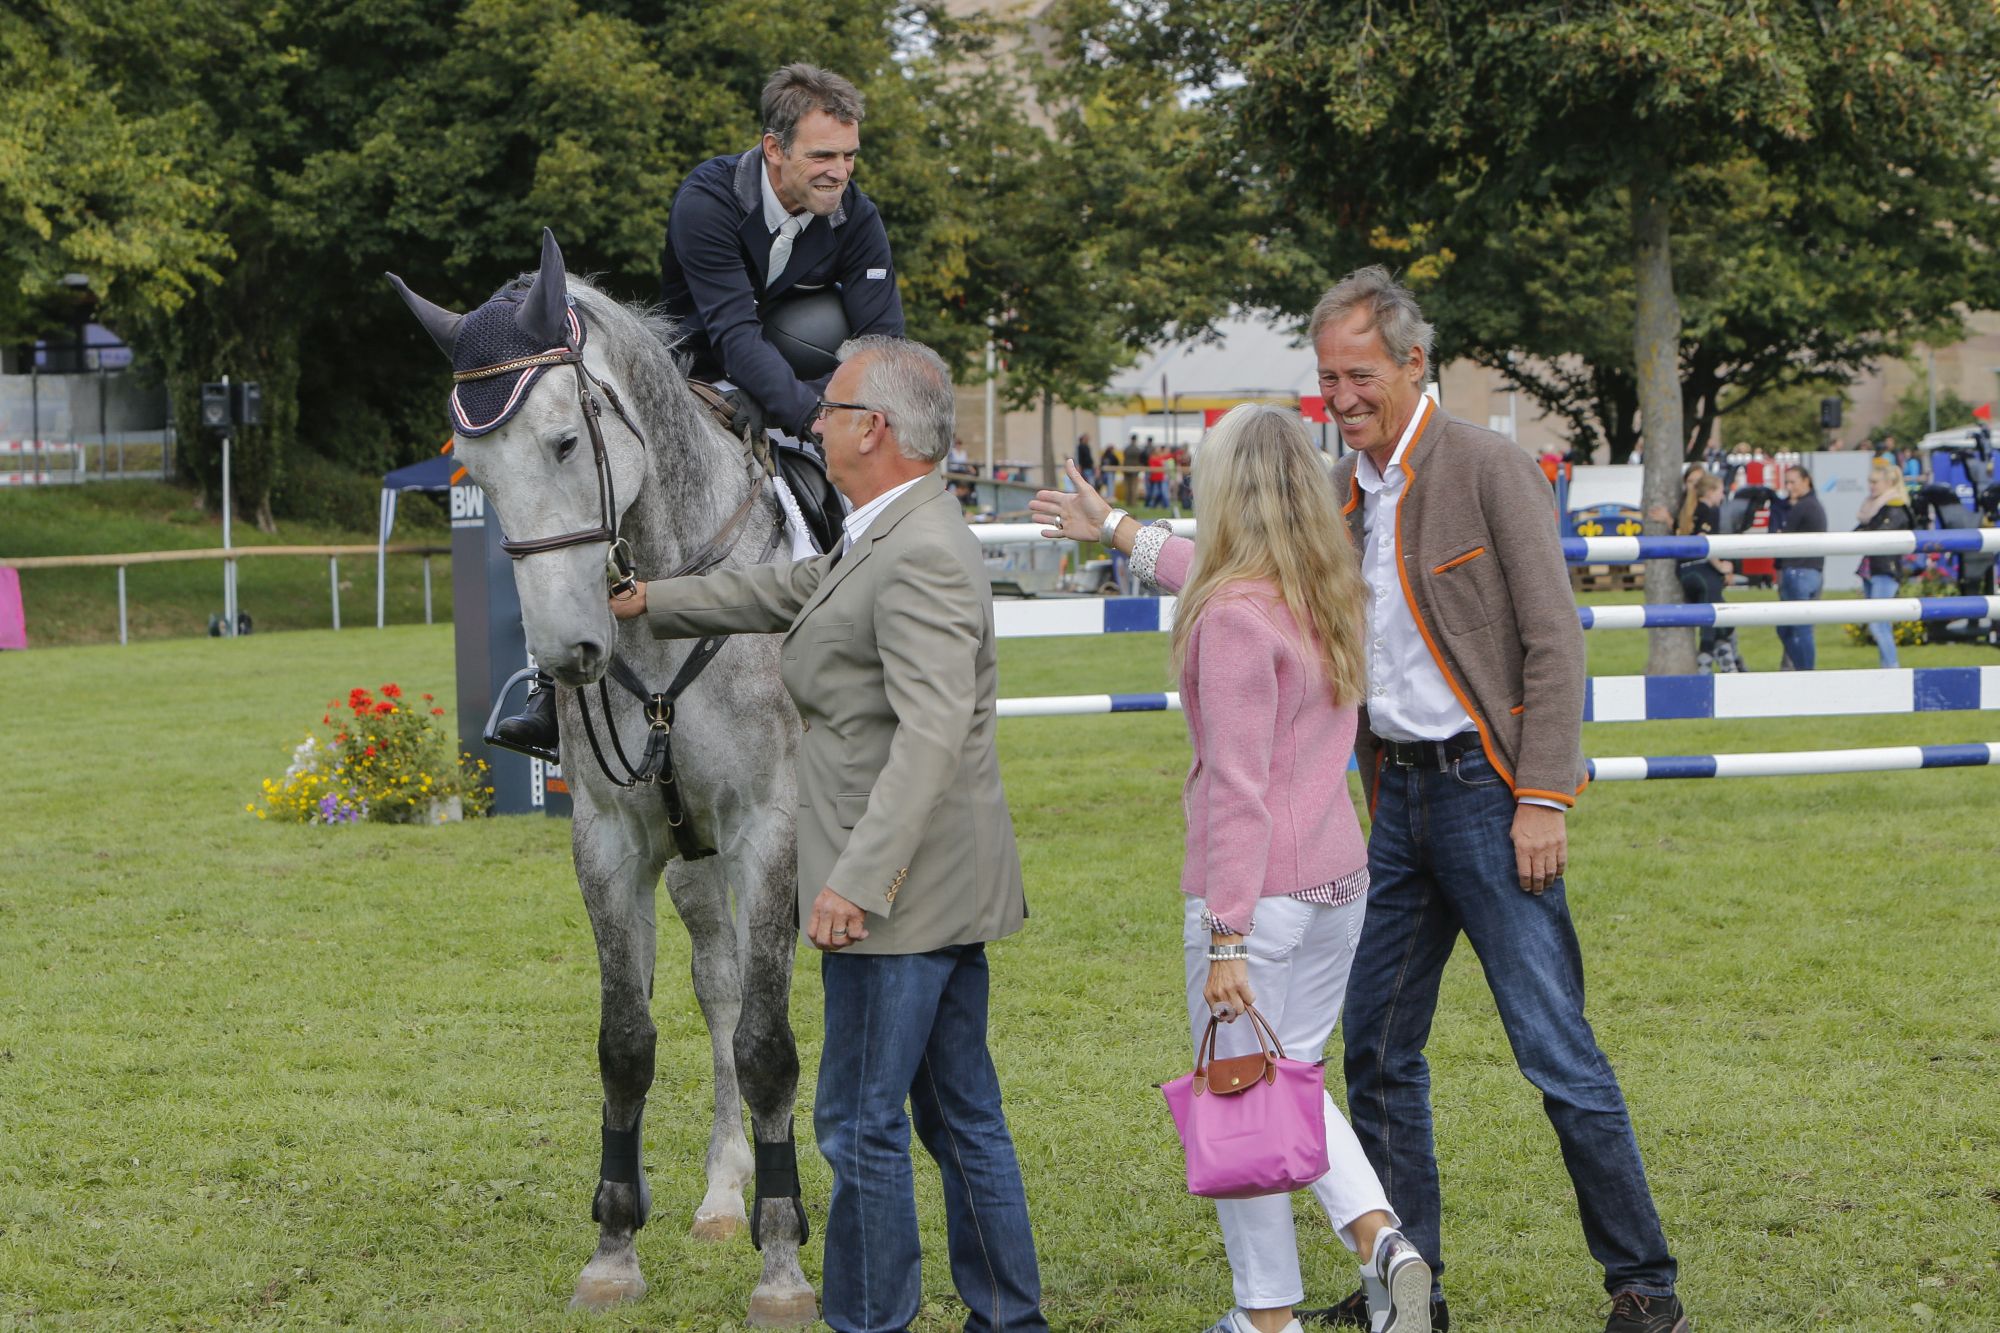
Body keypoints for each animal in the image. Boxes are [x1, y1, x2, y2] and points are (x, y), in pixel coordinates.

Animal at [389, 230, 815, 1323]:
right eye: (475, 473)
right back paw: (722, 1192)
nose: (566, 651)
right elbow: (630, 1040)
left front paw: (784, 1261)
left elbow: (770, 1044)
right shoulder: (614, 841)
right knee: (717, 985)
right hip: (693, 860)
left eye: (564, 443)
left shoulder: (771, 828)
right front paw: (616, 1248)